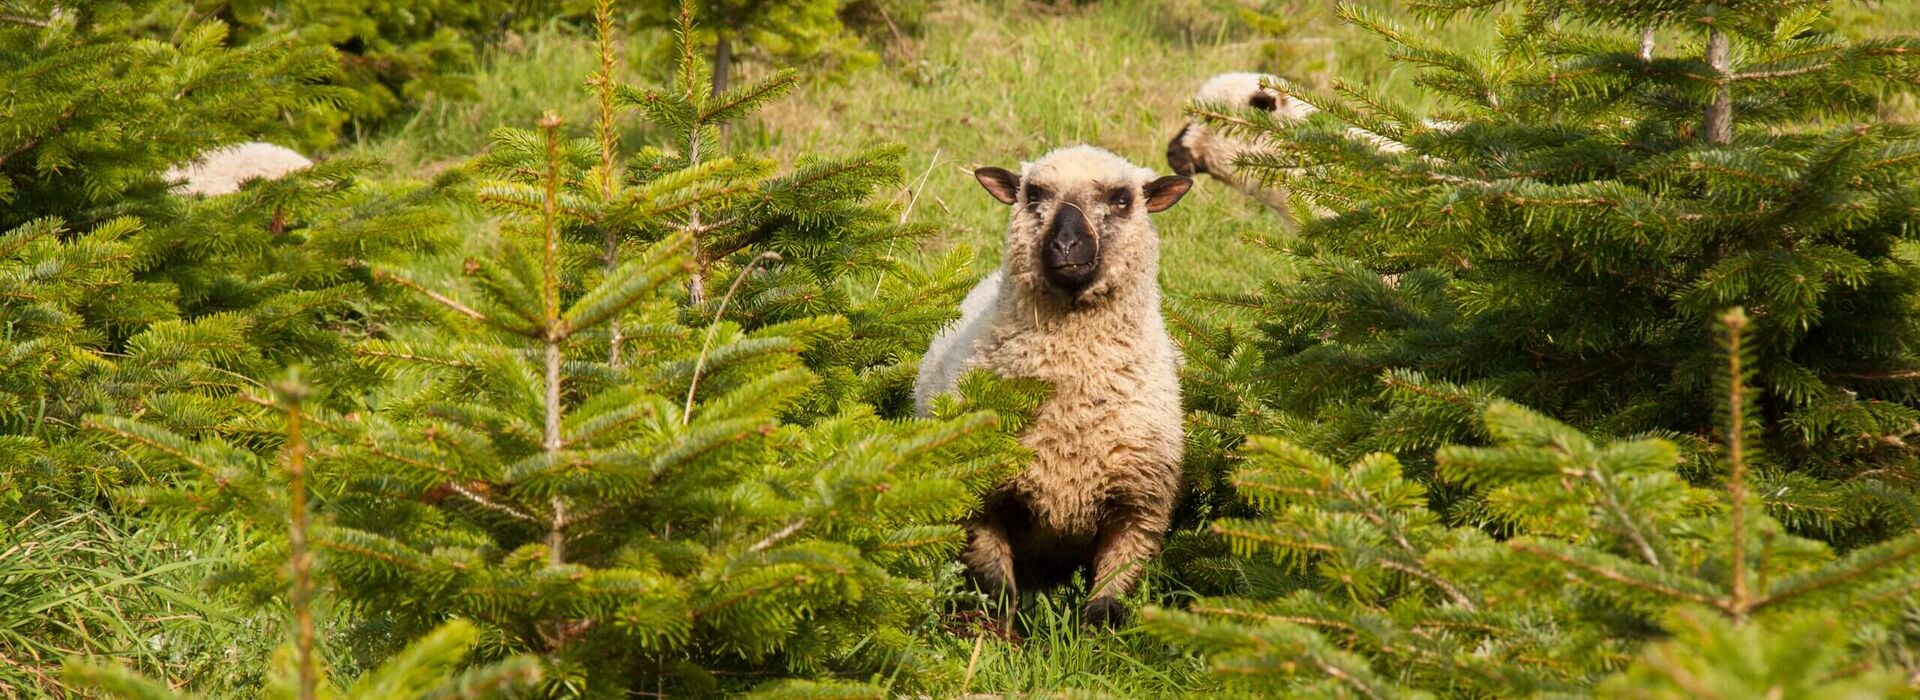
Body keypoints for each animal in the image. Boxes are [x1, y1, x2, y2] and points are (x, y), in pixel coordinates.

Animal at [915, 145, 1192, 627]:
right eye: (1034, 194)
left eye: (1123, 199)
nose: (1066, 245)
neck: (1072, 413)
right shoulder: (981, 498)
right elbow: (997, 588)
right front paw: (1002, 636)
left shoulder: (1139, 508)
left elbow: (1108, 599)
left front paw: (1097, 640)